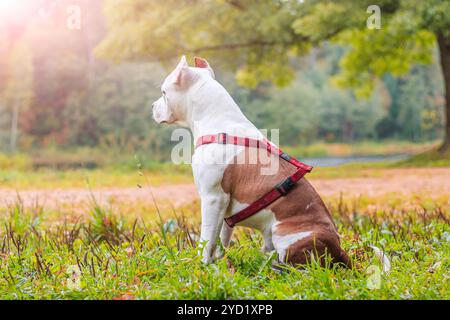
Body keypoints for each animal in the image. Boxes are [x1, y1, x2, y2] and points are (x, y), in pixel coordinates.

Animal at [153, 56, 354, 266]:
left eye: (164, 93)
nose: (152, 106)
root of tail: (338, 248)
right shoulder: (224, 208)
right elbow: (221, 237)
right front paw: (219, 261)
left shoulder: (212, 198)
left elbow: (207, 239)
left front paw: (202, 264)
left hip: (282, 231)